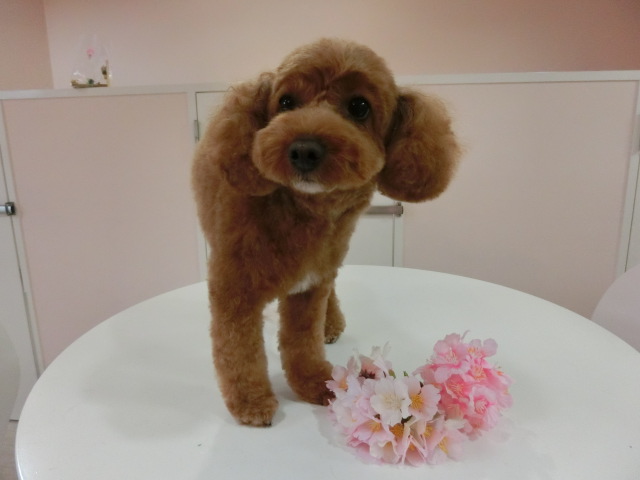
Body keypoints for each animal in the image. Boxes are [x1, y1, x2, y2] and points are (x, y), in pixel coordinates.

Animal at [192, 38, 459, 427]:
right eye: (286, 102)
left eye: (359, 107)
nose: (304, 149)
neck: (302, 212)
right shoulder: (234, 291)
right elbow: (238, 352)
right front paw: (251, 401)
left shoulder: (310, 288)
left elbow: (302, 342)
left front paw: (314, 381)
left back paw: (331, 324)